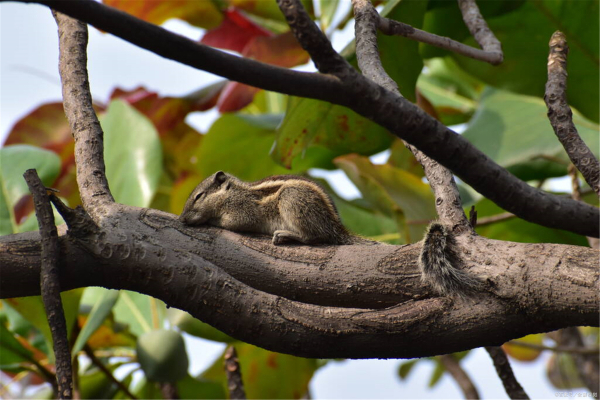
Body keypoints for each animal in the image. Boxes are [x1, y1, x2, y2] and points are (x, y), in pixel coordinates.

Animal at [180, 171, 354, 245]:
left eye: (198, 196)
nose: (182, 218)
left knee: (316, 236)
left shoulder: (243, 210)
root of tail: (338, 229)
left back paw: (285, 234)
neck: (232, 193)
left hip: (292, 197)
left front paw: (212, 220)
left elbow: (233, 222)